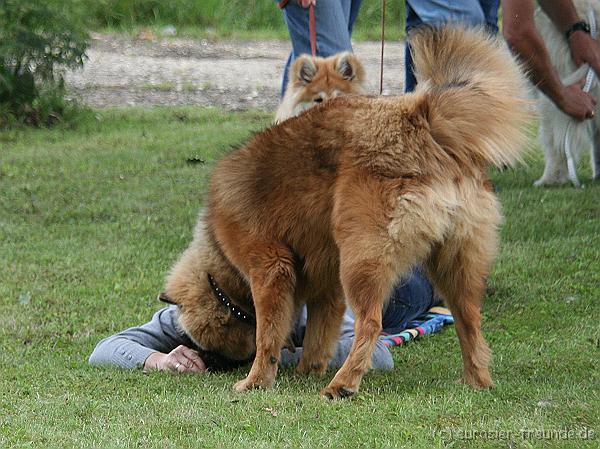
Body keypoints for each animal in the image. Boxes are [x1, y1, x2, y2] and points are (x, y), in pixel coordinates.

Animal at [161, 26, 528, 398]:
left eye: (208, 343)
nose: (204, 361)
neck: (220, 256)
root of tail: (420, 117)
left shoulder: (270, 267)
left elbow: (268, 336)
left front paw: (256, 381)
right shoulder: (326, 285)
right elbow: (319, 337)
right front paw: (306, 372)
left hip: (362, 257)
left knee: (371, 323)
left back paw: (343, 384)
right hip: (452, 261)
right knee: (469, 319)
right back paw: (475, 380)